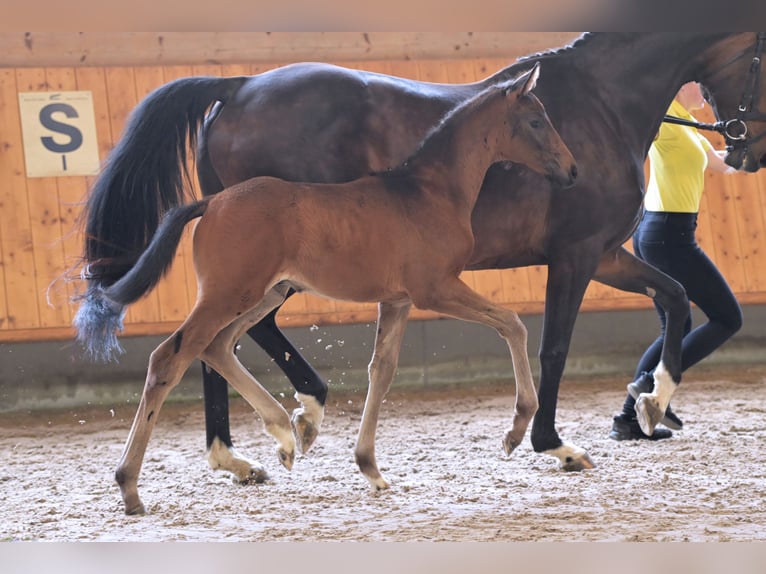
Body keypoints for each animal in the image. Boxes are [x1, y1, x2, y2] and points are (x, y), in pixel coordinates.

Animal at [75, 64, 576, 516]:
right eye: (536, 121)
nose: (572, 172)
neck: (426, 192)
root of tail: (211, 202)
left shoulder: (398, 299)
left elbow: (382, 370)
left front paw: (370, 468)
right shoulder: (435, 288)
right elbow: (512, 324)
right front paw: (515, 430)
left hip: (263, 293)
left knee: (216, 347)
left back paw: (283, 432)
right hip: (230, 294)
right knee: (170, 357)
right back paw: (131, 487)